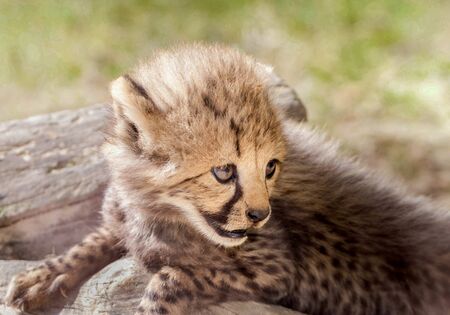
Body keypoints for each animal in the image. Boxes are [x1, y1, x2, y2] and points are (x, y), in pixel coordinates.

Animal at [4, 44, 450, 315]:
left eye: (270, 167)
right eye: (223, 171)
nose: (259, 215)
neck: (163, 211)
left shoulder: (276, 271)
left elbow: (171, 276)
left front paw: (150, 302)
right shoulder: (123, 214)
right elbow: (92, 240)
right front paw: (44, 275)